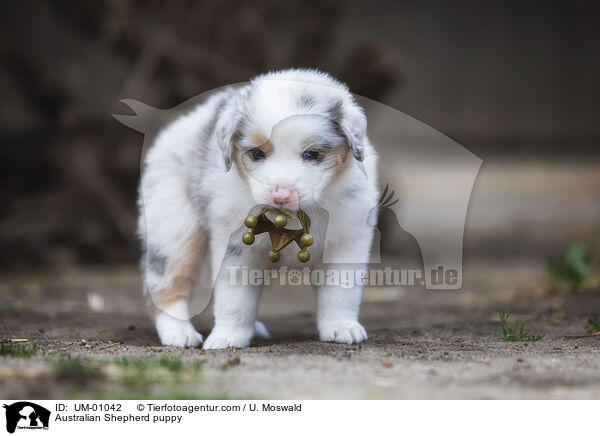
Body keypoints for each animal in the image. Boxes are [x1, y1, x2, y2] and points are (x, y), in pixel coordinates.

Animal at [138, 70, 378, 350]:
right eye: (256, 153)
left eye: (311, 154)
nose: (281, 194)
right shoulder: (235, 249)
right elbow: (235, 298)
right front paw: (227, 338)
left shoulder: (347, 242)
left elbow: (341, 292)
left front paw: (342, 328)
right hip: (173, 229)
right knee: (167, 285)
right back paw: (179, 333)